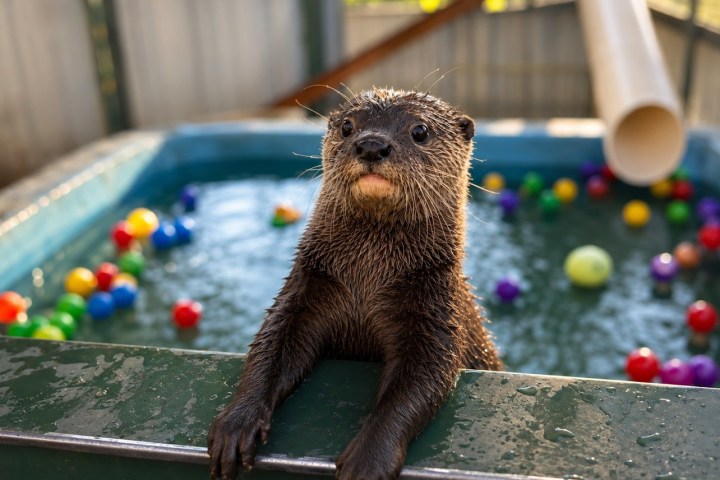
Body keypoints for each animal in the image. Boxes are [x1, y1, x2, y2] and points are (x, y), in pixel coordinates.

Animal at [207, 88, 502, 480]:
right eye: (348, 126)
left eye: (420, 130)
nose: (372, 145)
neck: (368, 277)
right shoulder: (305, 286)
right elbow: (269, 348)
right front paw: (237, 424)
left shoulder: (436, 307)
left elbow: (421, 379)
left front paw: (368, 459)